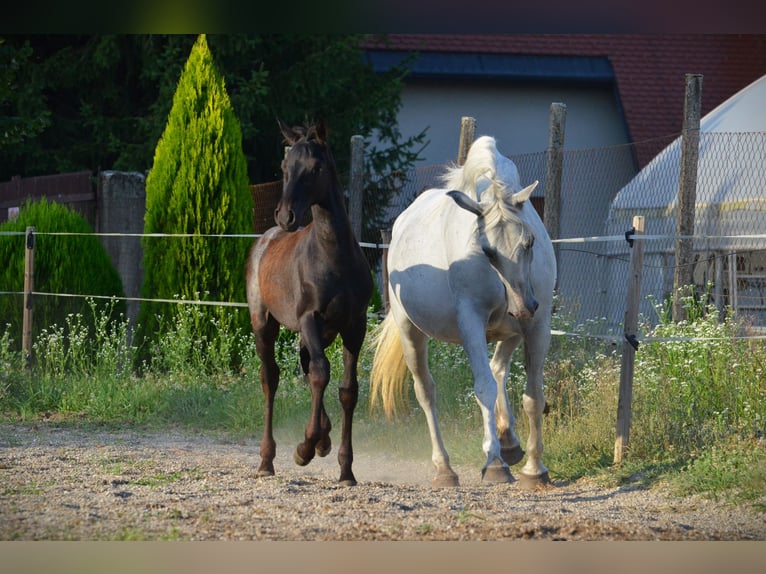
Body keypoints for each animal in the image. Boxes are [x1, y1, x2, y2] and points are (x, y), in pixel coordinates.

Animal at [246, 120, 376, 486]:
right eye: (284, 167)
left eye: (315, 168)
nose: (286, 215)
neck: (334, 257)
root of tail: (265, 239)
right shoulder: (309, 318)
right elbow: (320, 374)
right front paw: (305, 447)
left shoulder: (355, 325)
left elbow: (347, 389)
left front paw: (345, 469)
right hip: (264, 323)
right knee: (271, 378)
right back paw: (267, 460)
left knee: (306, 368)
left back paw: (323, 439)